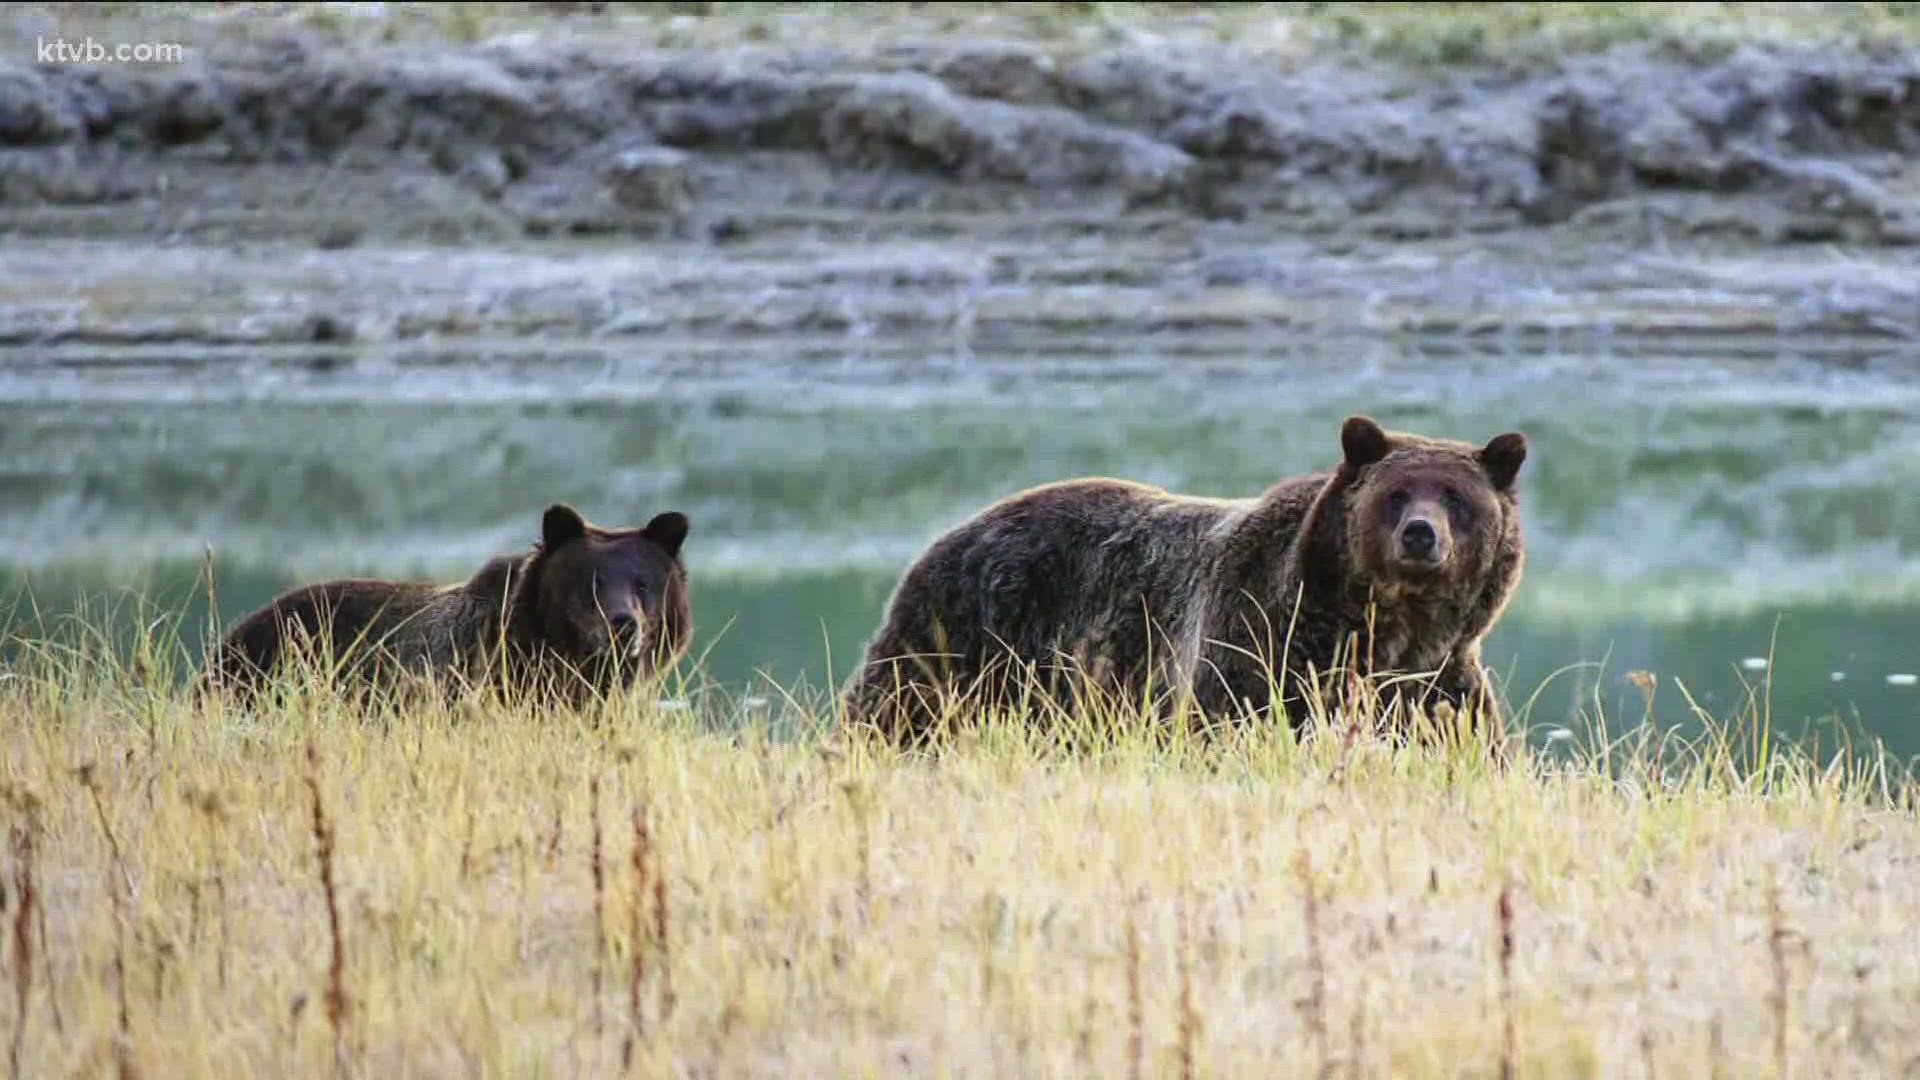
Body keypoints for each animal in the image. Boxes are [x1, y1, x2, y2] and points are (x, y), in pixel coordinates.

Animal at [840, 417, 1528, 745]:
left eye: (1456, 497)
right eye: (1397, 493)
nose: (1421, 534)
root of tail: (950, 532)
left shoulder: (1436, 682)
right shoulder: (1258, 645)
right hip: (965, 635)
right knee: (894, 709)